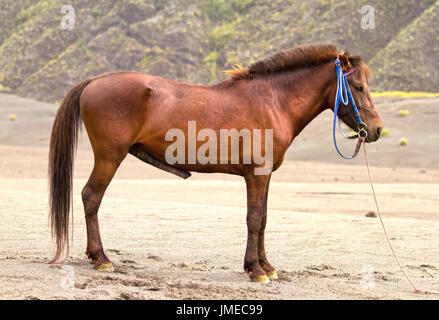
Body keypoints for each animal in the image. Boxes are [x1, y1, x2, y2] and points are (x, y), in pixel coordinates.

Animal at [49, 43, 382, 284]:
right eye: (358, 87)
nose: (377, 129)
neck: (274, 100)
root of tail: (95, 80)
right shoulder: (256, 175)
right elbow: (254, 219)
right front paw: (255, 270)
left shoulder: (265, 176)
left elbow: (264, 220)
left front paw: (266, 266)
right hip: (110, 156)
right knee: (91, 197)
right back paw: (101, 258)